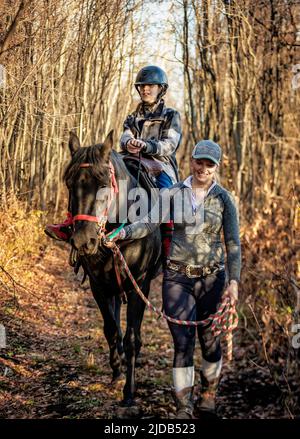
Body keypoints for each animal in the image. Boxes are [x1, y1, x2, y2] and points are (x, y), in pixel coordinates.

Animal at [63, 131, 162, 410]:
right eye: (69, 183)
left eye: (104, 183)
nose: (83, 241)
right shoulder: (99, 285)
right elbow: (110, 329)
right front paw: (117, 372)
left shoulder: (140, 284)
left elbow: (131, 338)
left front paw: (129, 392)